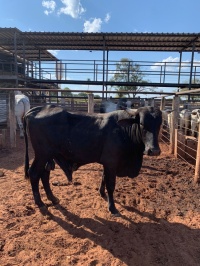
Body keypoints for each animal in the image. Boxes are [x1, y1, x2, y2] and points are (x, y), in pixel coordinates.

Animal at [23, 105, 162, 215]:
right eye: (142, 124)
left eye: (159, 125)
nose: (154, 150)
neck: (125, 131)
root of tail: (38, 109)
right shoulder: (111, 162)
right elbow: (110, 185)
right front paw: (112, 208)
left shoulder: (107, 163)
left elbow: (103, 178)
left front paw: (102, 193)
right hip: (42, 155)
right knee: (34, 174)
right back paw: (40, 203)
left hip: (47, 156)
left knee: (44, 174)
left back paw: (53, 198)